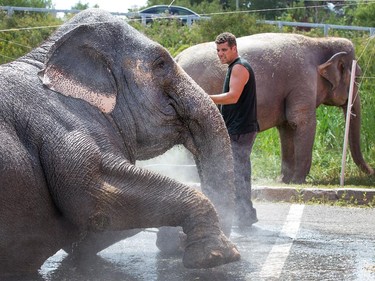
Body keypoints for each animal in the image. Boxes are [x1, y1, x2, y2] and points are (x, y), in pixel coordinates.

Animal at [0, 9, 241, 276]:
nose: (177, 239)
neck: (43, 57)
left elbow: (89, 231)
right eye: (161, 63)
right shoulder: (63, 125)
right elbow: (95, 196)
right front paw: (216, 256)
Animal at [175, 32, 374, 184]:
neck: (320, 41)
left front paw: (284, 180)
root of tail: (177, 57)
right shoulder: (302, 81)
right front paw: (298, 182)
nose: (371, 173)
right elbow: (301, 122)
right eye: (357, 77)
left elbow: (287, 127)